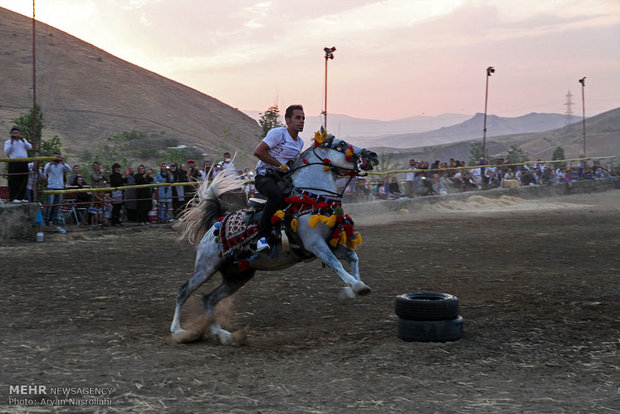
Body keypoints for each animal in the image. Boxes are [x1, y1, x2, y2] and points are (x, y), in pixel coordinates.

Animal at [172, 131, 380, 344]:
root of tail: (216, 223)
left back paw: (223, 335)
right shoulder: (316, 244)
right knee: (183, 291)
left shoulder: (331, 245)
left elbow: (353, 257)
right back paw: (178, 331)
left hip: (238, 276)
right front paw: (355, 286)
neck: (311, 198)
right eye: (342, 144)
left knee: (208, 299)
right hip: (206, 267)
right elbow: (336, 264)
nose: (372, 154)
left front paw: (354, 290)